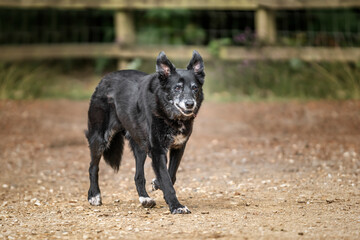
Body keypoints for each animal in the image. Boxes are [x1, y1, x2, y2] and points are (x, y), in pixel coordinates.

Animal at [84, 50, 202, 214]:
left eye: (195, 88)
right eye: (177, 88)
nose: (190, 104)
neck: (168, 114)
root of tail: (105, 78)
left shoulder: (178, 147)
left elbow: (171, 175)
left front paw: (157, 183)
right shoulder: (157, 150)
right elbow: (167, 179)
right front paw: (176, 206)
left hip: (140, 147)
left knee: (138, 176)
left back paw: (145, 198)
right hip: (100, 138)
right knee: (93, 167)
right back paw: (94, 195)